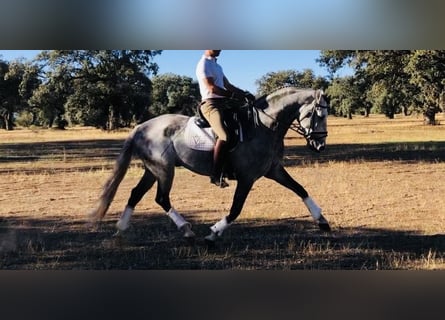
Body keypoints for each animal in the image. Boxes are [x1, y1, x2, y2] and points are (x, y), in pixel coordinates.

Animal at [88, 87, 330, 242]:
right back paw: (186, 229)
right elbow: (236, 208)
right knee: (161, 198)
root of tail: (141, 127)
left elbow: (301, 189)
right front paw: (214, 232)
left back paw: (121, 228)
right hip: (164, 170)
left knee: (135, 194)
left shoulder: (274, 170)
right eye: (316, 114)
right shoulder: (247, 177)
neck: (264, 126)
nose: (319, 145)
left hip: (152, 170)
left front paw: (322, 221)